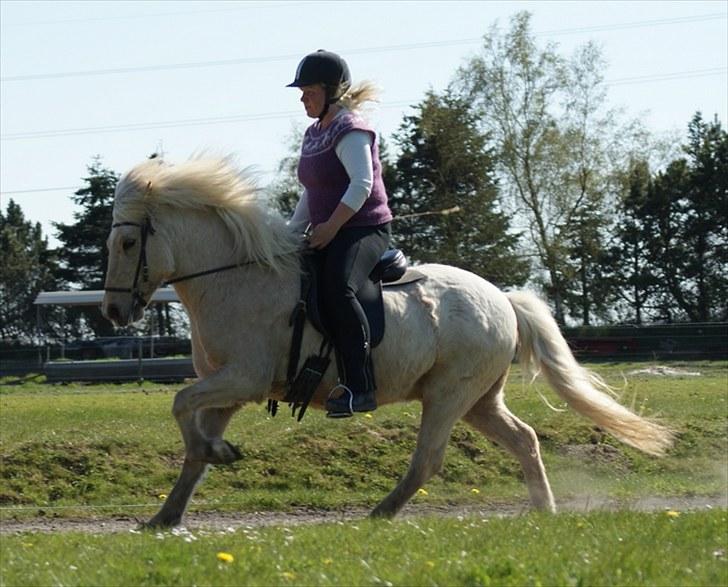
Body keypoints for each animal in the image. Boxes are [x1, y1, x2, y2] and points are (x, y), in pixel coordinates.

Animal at [99, 155, 672, 528]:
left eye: (127, 242)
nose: (112, 311)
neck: (236, 277)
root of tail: (503, 300)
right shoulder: (227, 388)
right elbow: (192, 446)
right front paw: (170, 510)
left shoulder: (243, 378)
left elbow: (180, 406)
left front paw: (214, 456)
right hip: (478, 401)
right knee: (524, 439)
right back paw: (544, 510)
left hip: (448, 396)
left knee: (429, 460)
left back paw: (381, 513)